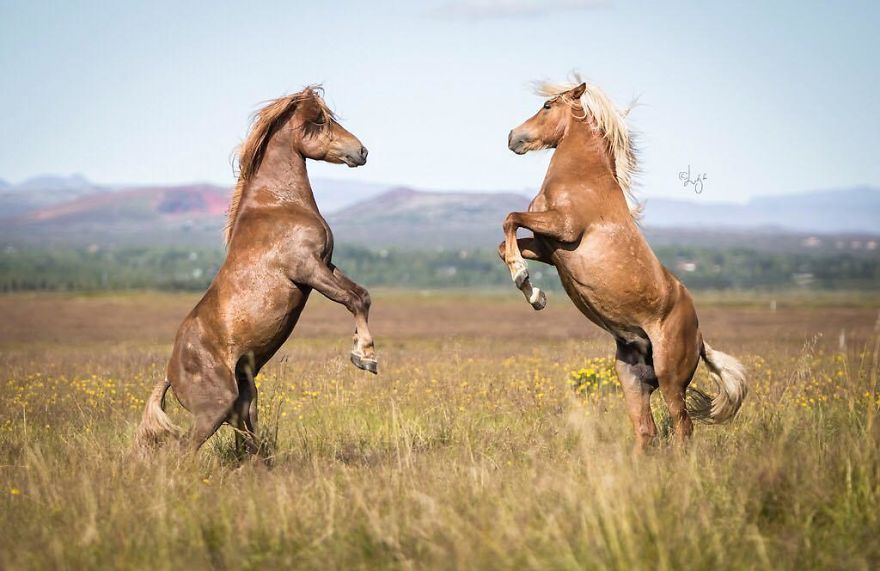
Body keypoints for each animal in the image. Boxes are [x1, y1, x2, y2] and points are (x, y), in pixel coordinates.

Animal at [134, 86, 377, 455]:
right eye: (319, 120)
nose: (361, 151)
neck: (278, 203)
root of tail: (170, 374)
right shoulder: (308, 269)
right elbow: (353, 300)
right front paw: (365, 356)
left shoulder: (326, 264)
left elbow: (362, 295)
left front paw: (362, 351)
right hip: (217, 406)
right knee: (185, 450)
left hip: (244, 400)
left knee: (247, 441)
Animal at [500, 77, 747, 450]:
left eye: (547, 106)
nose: (513, 136)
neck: (582, 177)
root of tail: (700, 337)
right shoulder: (547, 246)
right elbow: (504, 243)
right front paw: (535, 294)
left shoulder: (563, 228)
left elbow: (510, 219)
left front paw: (524, 281)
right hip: (632, 376)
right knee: (646, 430)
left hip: (670, 377)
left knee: (683, 426)